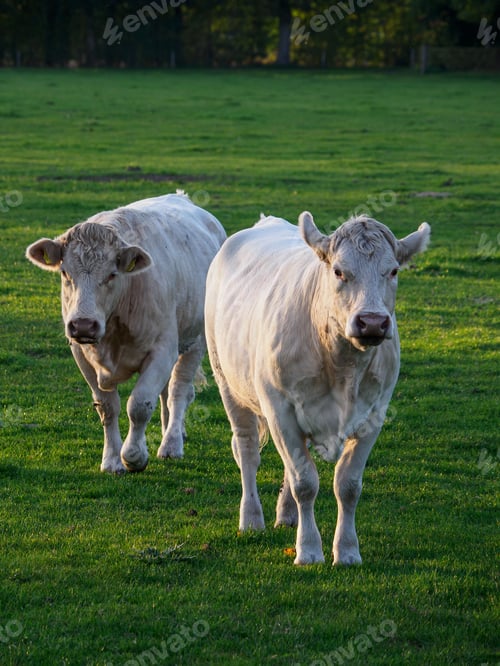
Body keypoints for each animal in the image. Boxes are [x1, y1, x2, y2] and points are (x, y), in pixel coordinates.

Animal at [26, 191, 226, 474]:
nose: (84, 324)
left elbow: (139, 405)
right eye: (65, 272)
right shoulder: (81, 353)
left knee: (179, 390)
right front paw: (111, 460)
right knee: (166, 393)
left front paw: (133, 456)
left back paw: (171, 443)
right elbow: (108, 407)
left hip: (195, 341)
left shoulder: (162, 350)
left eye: (112, 274)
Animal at [205, 211, 430, 565]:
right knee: (247, 450)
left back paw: (287, 515)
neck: (341, 365)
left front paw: (348, 550)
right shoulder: (280, 409)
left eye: (393, 270)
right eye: (338, 271)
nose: (372, 322)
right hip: (227, 382)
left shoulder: (374, 414)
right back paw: (251, 518)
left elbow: (347, 485)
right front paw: (309, 549)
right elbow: (305, 483)